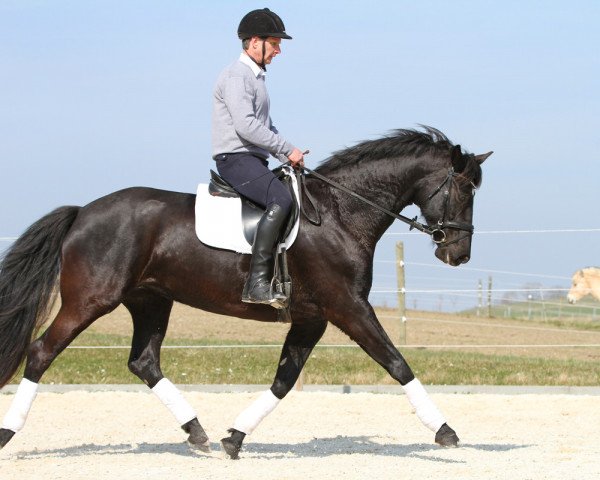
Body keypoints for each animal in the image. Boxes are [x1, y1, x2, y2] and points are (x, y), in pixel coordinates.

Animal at [0, 126, 490, 458]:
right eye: (464, 190)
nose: (459, 254)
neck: (340, 212)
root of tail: (83, 212)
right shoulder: (348, 307)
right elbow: (397, 363)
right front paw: (445, 431)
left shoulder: (312, 317)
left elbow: (284, 380)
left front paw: (234, 438)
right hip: (92, 300)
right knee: (42, 352)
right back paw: (9, 433)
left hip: (151, 300)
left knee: (143, 362)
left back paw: (197, 432)